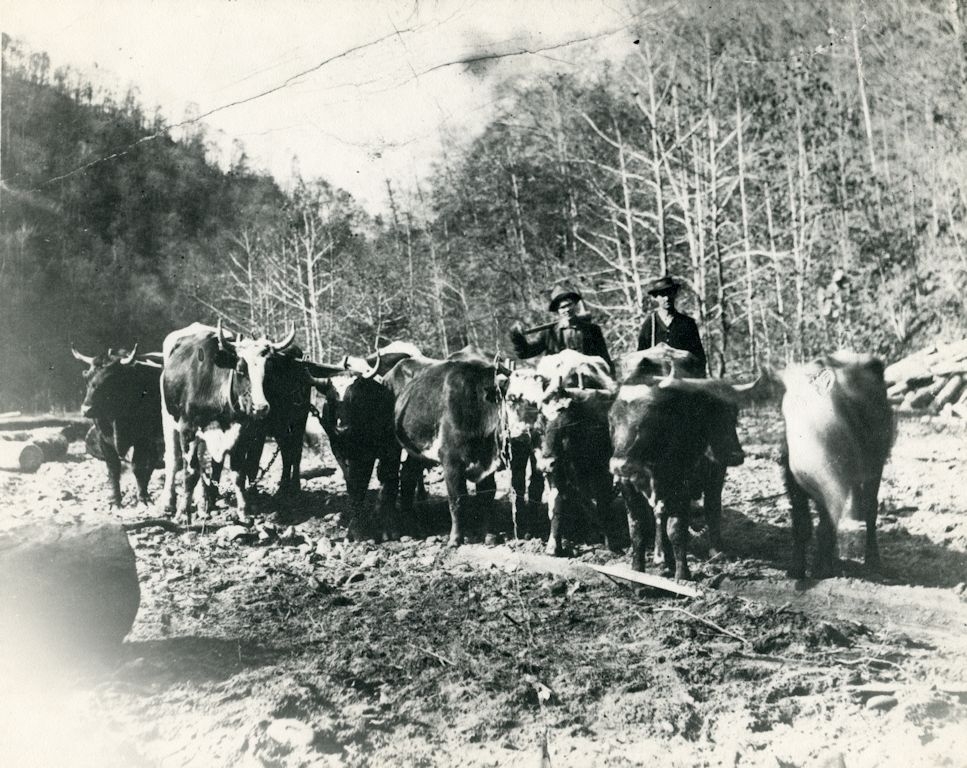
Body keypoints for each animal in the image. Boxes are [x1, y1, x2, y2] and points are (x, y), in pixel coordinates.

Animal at [71, 345, 164, 506]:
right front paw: (115, 500)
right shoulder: (103, 439)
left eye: (109, 380)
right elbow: (113, 469)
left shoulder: (143, 439)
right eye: (86, 378)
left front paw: (143, 497)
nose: (86, 409)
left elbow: (137, 466)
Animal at [394, 352, 507, 547]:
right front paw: (455, 538)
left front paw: (489, 535)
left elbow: (486, 497)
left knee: (408, 474)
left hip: (416, 452)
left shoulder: (488, 463)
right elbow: (457, 500)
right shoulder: (451, 461)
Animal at [531, 351, 620, 556]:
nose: (545, 464)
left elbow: (603, 502)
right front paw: (553, 545)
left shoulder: (601, 468)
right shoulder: (556, 471)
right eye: (541, 424)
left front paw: (611, 544)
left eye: (567, 426)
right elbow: (556, 502)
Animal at [660, 351, 895, 579]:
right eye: (786, 411)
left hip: (875, 467)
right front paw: (797, 569)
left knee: (870, 508)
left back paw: (872, 560)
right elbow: (802, 524)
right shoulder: (793, 482)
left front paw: (821, 568)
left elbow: (825, 525)